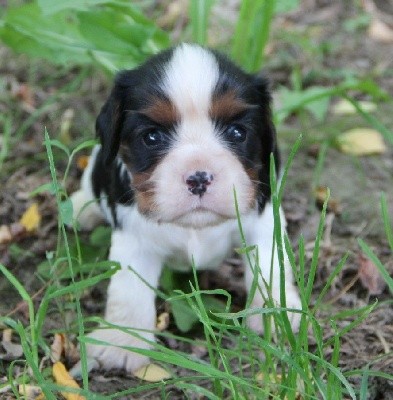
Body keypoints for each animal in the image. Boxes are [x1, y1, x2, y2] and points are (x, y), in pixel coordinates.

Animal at [72, 43, 300, 372]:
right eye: (152, 136)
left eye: (237, 133)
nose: (199, 177)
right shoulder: (134, 239)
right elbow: (128, 290)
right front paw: (123, 341)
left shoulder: (264, 221)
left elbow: (270, 268)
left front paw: (277, 314)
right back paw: (81, 208)